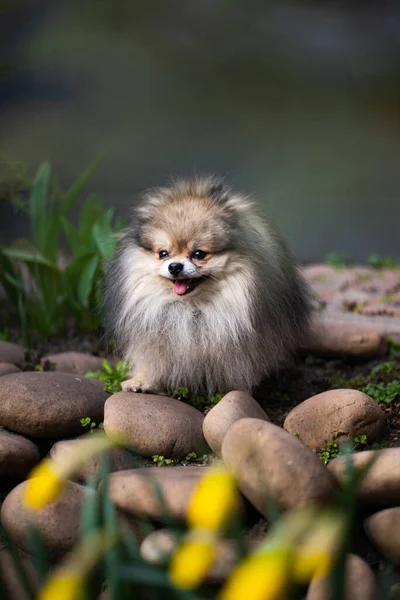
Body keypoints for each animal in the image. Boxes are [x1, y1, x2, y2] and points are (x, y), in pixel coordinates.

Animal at [102, 176, 310, 396]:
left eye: (199, 254)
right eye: (163, 254)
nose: (174, 266)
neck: (192, 309)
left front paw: (238, 391)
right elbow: (152, 362)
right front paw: (142, 381)